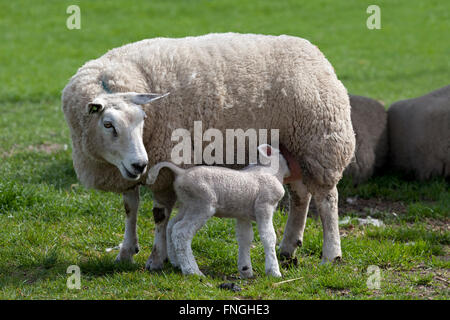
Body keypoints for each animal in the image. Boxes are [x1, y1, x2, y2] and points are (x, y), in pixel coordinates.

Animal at [146, 145, 290, 278]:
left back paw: (176, 262)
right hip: (203, 204)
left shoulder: (243, 214)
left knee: (171, 225)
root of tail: (181, 173)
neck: (271, 172)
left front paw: (246, 270)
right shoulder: (264, 206)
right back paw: (192, 270)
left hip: (188, 205)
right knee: (181, 231)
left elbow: (245, 238)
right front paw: (274, 271)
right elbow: (269, 237)